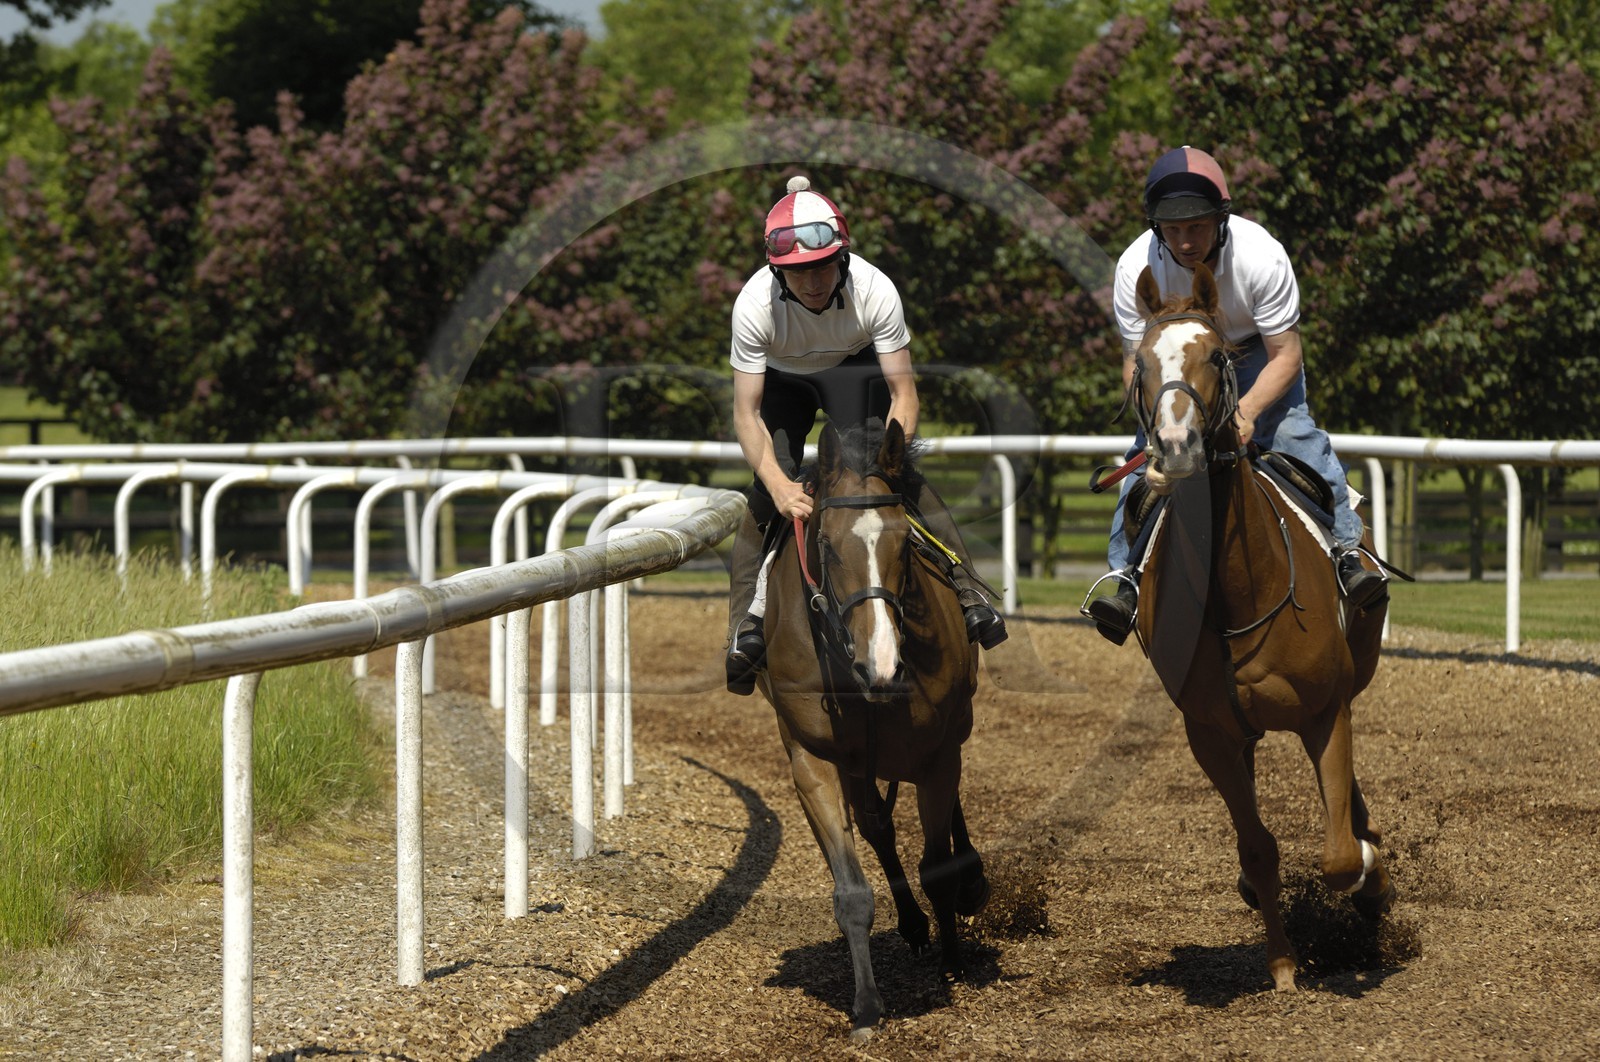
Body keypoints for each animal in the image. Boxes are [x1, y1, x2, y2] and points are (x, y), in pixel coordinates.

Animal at [757, 418, 989, 1038]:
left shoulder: (938, 751)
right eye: (828, 546)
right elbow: (852, 891)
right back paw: (911, 924)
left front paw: (954, 961)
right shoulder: (814, 760)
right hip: (859, 763)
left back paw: (970, 889)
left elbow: (937, 866)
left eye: (905, 543)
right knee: (877, 826)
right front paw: (865, 1006)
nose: (881, 666)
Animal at [1126, 262, 1395, 991]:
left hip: (1351, 682)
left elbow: (1340, 856)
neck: (1237, 596)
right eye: (1140, 362)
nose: (1177, 448)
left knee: (1349, 804)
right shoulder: (1210, 733)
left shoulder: (1326, 711)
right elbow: (1258, 848)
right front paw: (1281, 964)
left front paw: (1370, 876)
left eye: (1217, 355)